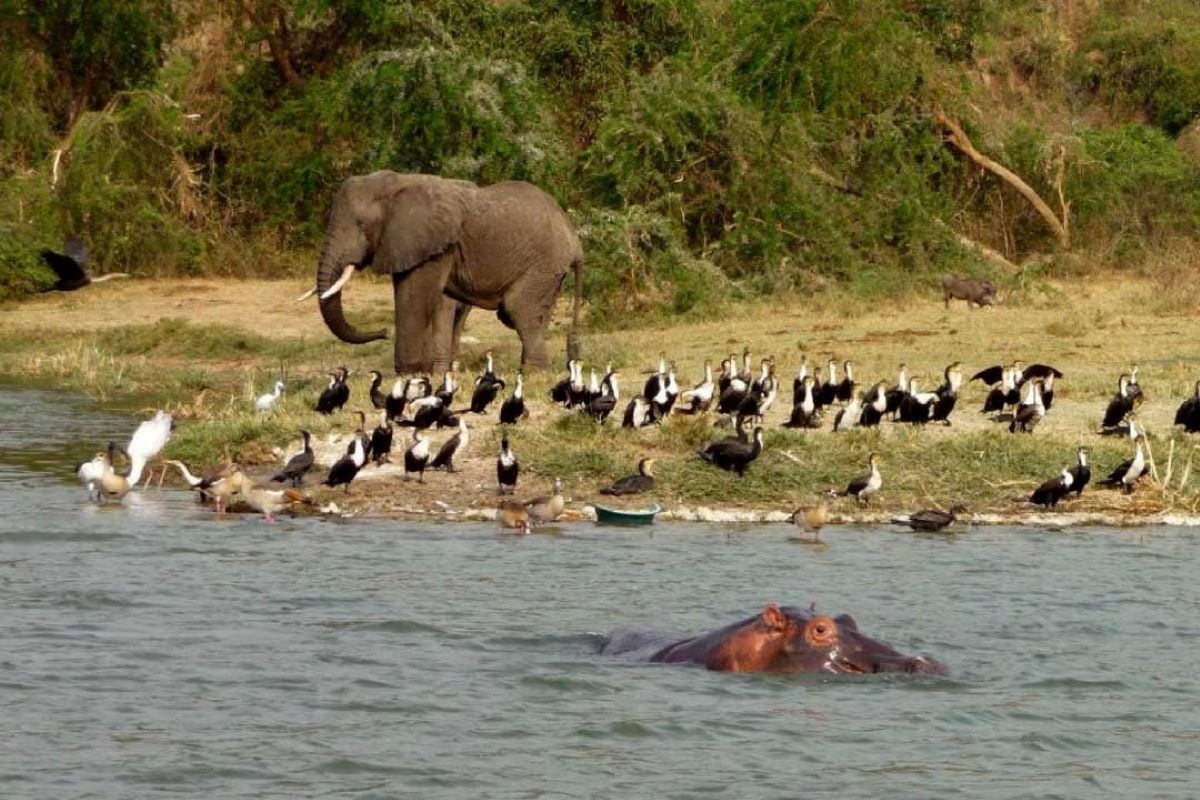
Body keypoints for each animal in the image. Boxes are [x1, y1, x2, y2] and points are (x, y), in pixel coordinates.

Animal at [314, 171, 583, 374]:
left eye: (361, 225)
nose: (383, 333)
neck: (400, 182)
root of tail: (573, 237)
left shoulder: (433, 245)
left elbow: (414, 297)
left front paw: (410, 373)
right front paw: (431, 372)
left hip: (544, 263)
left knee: (517, 308)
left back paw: (533, 374)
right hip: (551, 272)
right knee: (534, 313)